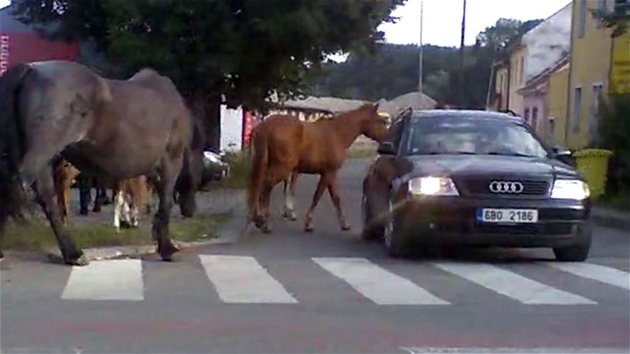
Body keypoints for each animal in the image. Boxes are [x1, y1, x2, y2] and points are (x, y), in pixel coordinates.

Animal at [0, 60, 202, 266]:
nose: (190, 210)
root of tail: (29, 70)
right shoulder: (170, 161)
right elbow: (165, 202)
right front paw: (166, 248)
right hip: (41, 154)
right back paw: (74, 253)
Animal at [247, 103, 390, 234]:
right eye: (380, 121)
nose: (387, 139)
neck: (337, 133)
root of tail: (267, 126)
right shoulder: (329, 173)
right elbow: (321, 197)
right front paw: (309, 223)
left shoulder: (328, 174)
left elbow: (333, 198)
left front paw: (343, 224)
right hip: (282, 168)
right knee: (265, 187)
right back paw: (265, 223)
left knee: (259, 186)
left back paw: (257, 219)